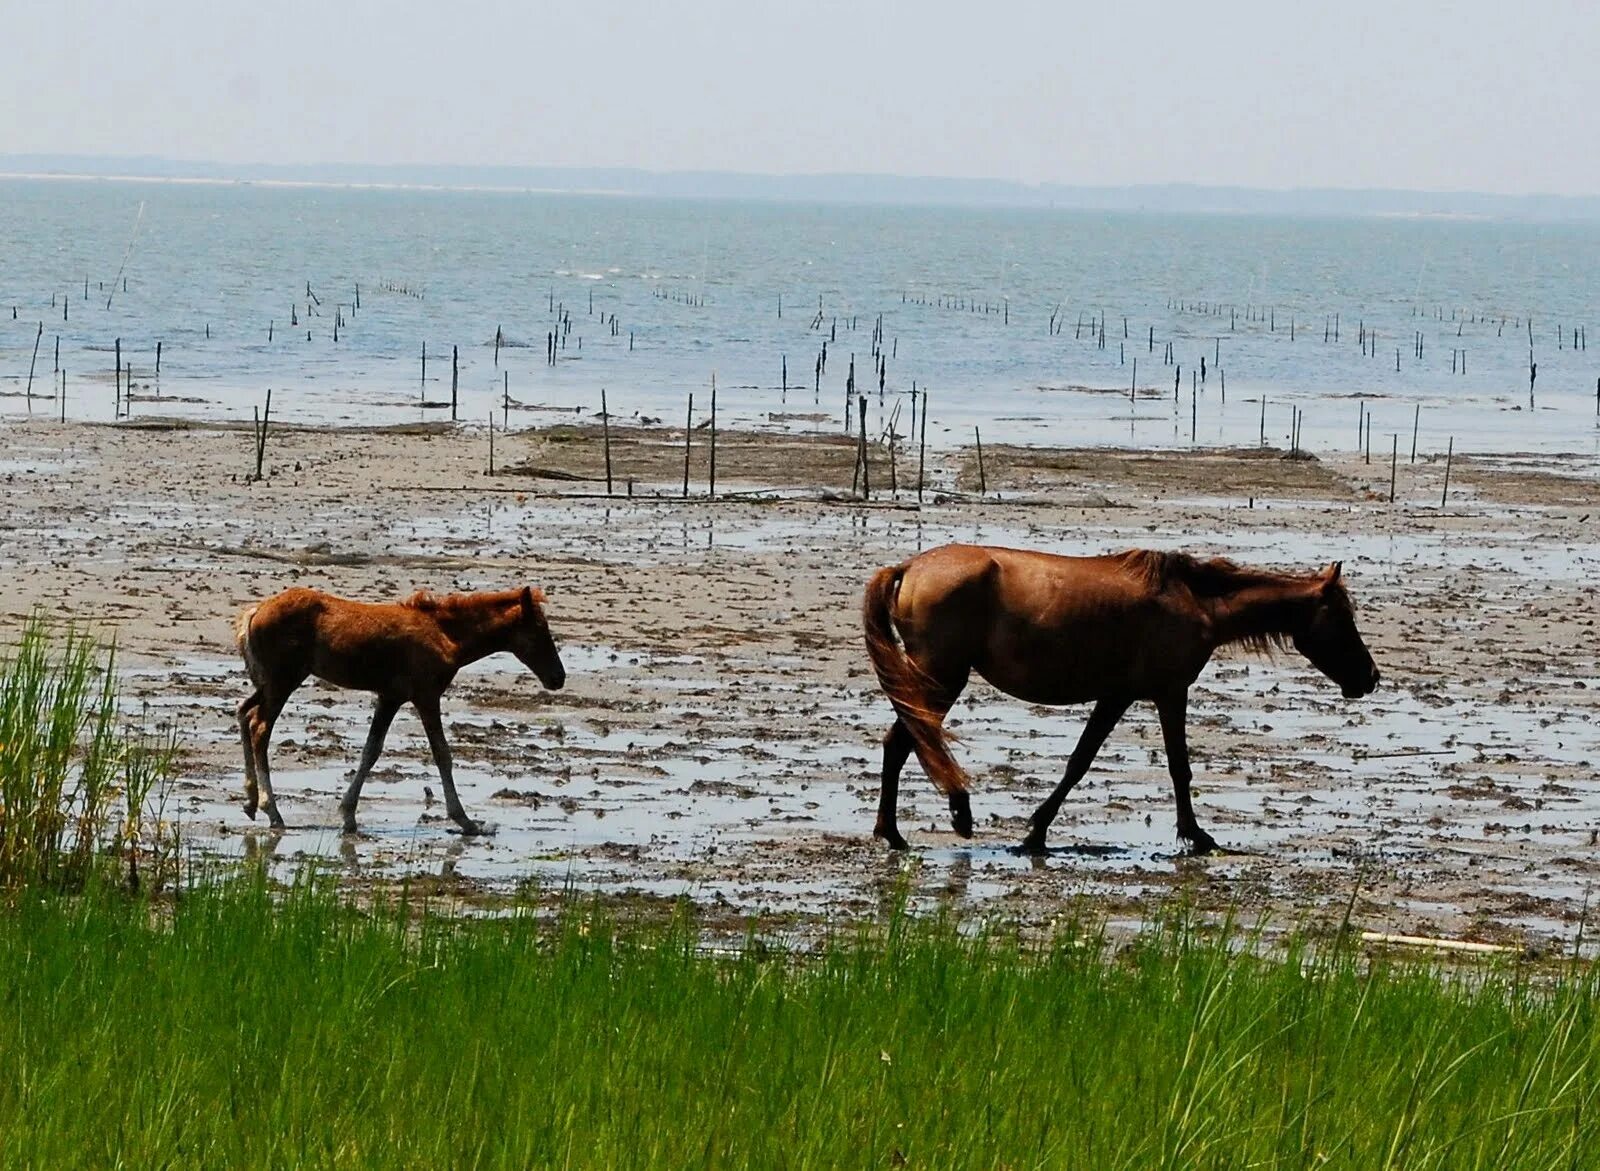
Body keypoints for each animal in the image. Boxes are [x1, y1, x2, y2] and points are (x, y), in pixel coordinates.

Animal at [233, 582, 566, 831]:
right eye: (539, 629)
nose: (558, 677)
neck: (445, 635)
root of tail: (255, 612)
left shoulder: (390, 697)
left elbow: (371, 750)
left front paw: (349, 814)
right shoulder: (425, 696)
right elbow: (442, 754)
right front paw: (465, 820)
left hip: (270, 683)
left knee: (243, 711)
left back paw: (250, 801)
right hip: (283, 681)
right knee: (260, 727)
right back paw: (272, 811)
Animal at [864, 543, 1376, 857]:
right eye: (1343, 617)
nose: (1369, 678)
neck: (1196, 602)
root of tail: (907, 569)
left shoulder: (1119, 696)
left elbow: (1082, 761)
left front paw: (1036, 830)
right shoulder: (1164, 692)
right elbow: (1172, 767)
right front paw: (1198, 836)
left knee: (901, 742)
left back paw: (896, 830)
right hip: (940, 678)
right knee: (907, 741)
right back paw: (925, 823)